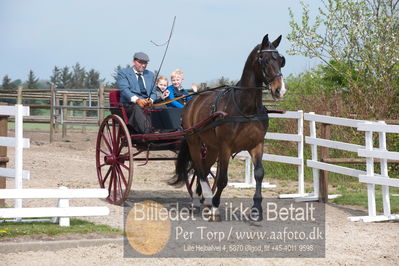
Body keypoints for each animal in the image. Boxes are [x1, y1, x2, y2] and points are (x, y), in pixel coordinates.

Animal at [170, 33, 286, 220]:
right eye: (265, 59)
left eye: (281, 60)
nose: (279, 90)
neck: (246, 108)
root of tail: (193, 100)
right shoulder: (226, 147)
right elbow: (223, 179)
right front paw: (216, 206)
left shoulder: (257, 145)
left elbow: (259, 174)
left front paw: (256, 208)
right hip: (194, 141)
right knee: (198, 169)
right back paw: (202, 200)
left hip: (211, 147)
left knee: (204, 168)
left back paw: (204, 199)